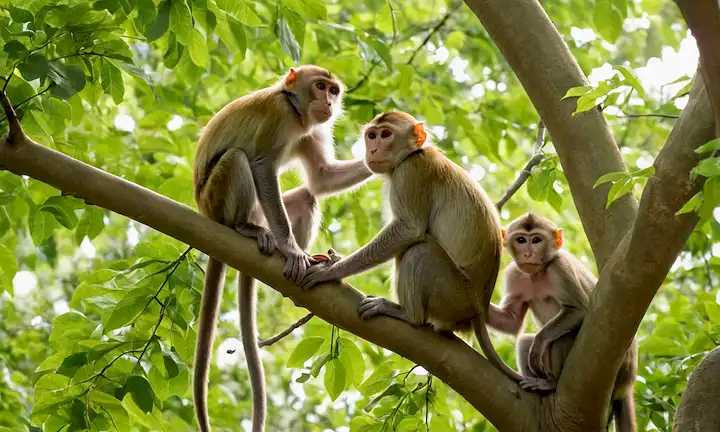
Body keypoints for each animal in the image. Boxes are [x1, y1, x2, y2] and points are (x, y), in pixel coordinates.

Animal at [192, 65, 373, 432]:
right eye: (320, 86)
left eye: (334, 90)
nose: (328, 102)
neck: (295, 110)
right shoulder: (279, 115)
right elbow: (262, 165)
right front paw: (291, 251)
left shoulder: (310, 131)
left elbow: (322, 178)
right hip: (217, 201)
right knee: (237, 159)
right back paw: (248, 231)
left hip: (263, 213)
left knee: (306, 197)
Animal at [298, 111, 526, 383]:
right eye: (371, 135)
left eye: (386, 134)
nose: (372, 149)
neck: (415, 152)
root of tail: (480, 307)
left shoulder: (411, 173)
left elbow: (409, 229)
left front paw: (332, 271)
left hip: (454, 297)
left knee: (420, 250)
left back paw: (409, 316)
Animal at [488, 213, 638, 432]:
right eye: (521, 240)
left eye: (536, 240)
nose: (528, 254)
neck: (539, 272)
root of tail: (626, 384)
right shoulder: (514, 274)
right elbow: (512, 321)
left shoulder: (560, 267)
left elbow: (578, 310)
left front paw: (540, 342)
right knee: (524, 342)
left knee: (561, 338)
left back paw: (551, 382)